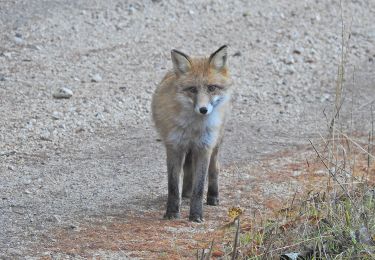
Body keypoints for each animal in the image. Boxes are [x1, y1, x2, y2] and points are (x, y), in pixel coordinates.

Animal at [151, 45, 234, 221]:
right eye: (192, 89)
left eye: (211, 88)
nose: (203, 110)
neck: (193, 128)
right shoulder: (174, 146)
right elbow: (173, 186)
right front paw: (172, 212)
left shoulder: (204, 147)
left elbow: (199, 187)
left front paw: (196, 215)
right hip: (188, 149)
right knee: (188, 170)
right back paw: (186, 194)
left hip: (215, 144)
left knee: (214, 169)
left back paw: (212, 196)